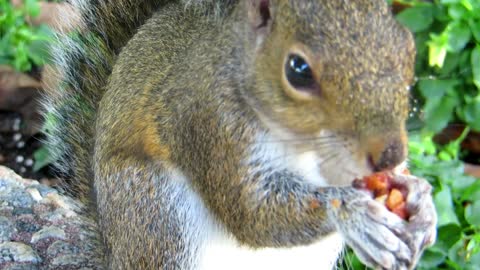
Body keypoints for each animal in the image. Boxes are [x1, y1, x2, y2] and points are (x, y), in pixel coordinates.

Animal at [43, 0, 436, 268]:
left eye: (408, 47)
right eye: (297, 70)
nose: (390, 154)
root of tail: (113, 254)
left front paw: (420, 200)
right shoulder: (208, 123)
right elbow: (252, 214)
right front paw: (354, 213)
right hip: (155, 213)